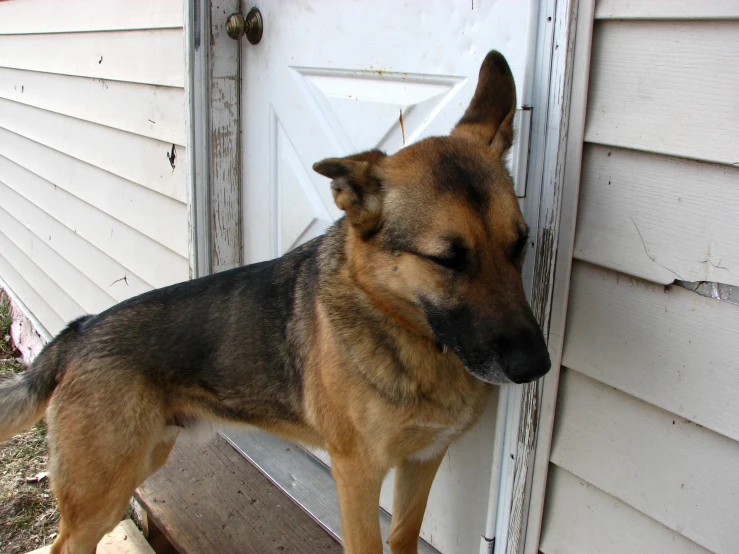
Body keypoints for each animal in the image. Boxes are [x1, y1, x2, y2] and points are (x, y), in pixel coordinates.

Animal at [0, 50, 548, 548]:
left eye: (520, 243)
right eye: (448, 260)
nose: (536, 366)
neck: (408, 333)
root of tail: (79, 331)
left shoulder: (422, 462)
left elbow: (405, 537)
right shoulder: (357, 474)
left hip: (143, 459)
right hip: (102, 491)